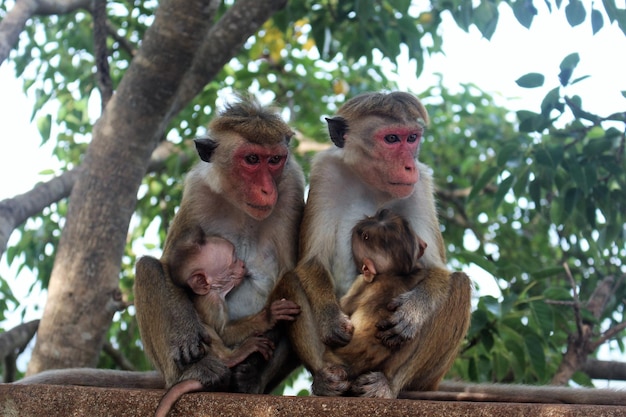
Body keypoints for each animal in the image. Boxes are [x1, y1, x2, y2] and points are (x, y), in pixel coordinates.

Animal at [154, 229, 298, 414]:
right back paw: (232, 357)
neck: (214, 290)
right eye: (234, 259)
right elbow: (222, 332)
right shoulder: (214, 303)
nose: (243, 264)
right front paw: (268, 316)